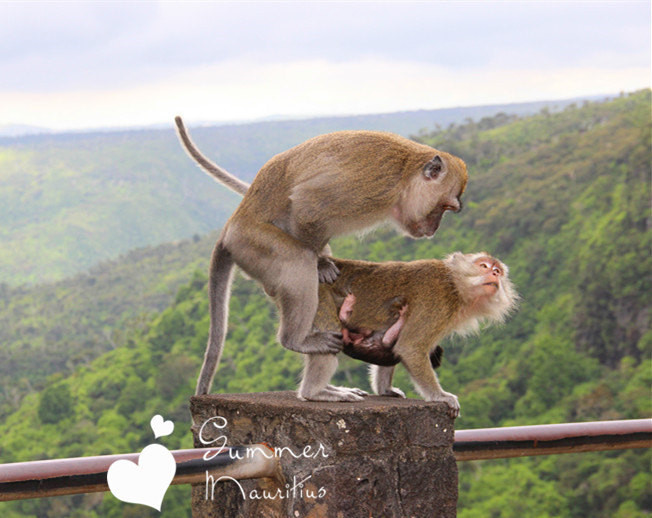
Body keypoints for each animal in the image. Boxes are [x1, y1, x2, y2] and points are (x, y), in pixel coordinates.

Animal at [174, 116, 468, 396]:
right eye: (444, 206)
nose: (434, 229)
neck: (404, 176)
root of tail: (230, 228)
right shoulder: (370, 187)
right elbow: (307, 207)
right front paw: (321, 263)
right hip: (252, 243)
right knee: (298, 261)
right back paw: (296, 338)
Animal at [300, 253, 520, 418]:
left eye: (498, 270)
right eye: (483, 265)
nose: (494, 273)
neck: (455, 285)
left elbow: (394, 345)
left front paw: (385, 389)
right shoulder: (437, 300)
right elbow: (410, 347)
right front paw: (440, 396)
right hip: (316, 297)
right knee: (331, 337)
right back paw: (314, 392)